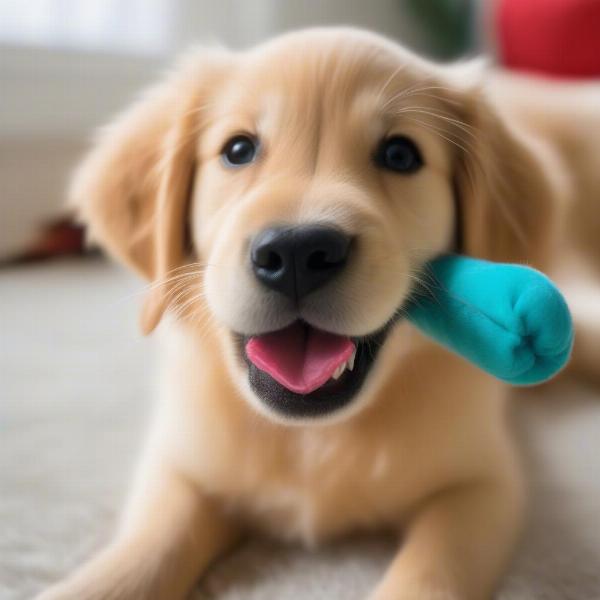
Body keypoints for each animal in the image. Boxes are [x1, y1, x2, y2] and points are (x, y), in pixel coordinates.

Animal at [38, 28, 596, 600]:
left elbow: (431, 571)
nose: (298, 253)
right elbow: (145, 548)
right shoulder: (180, 463)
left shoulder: (481, 485)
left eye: (400, 154)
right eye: (238, 150)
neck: (314, 437)